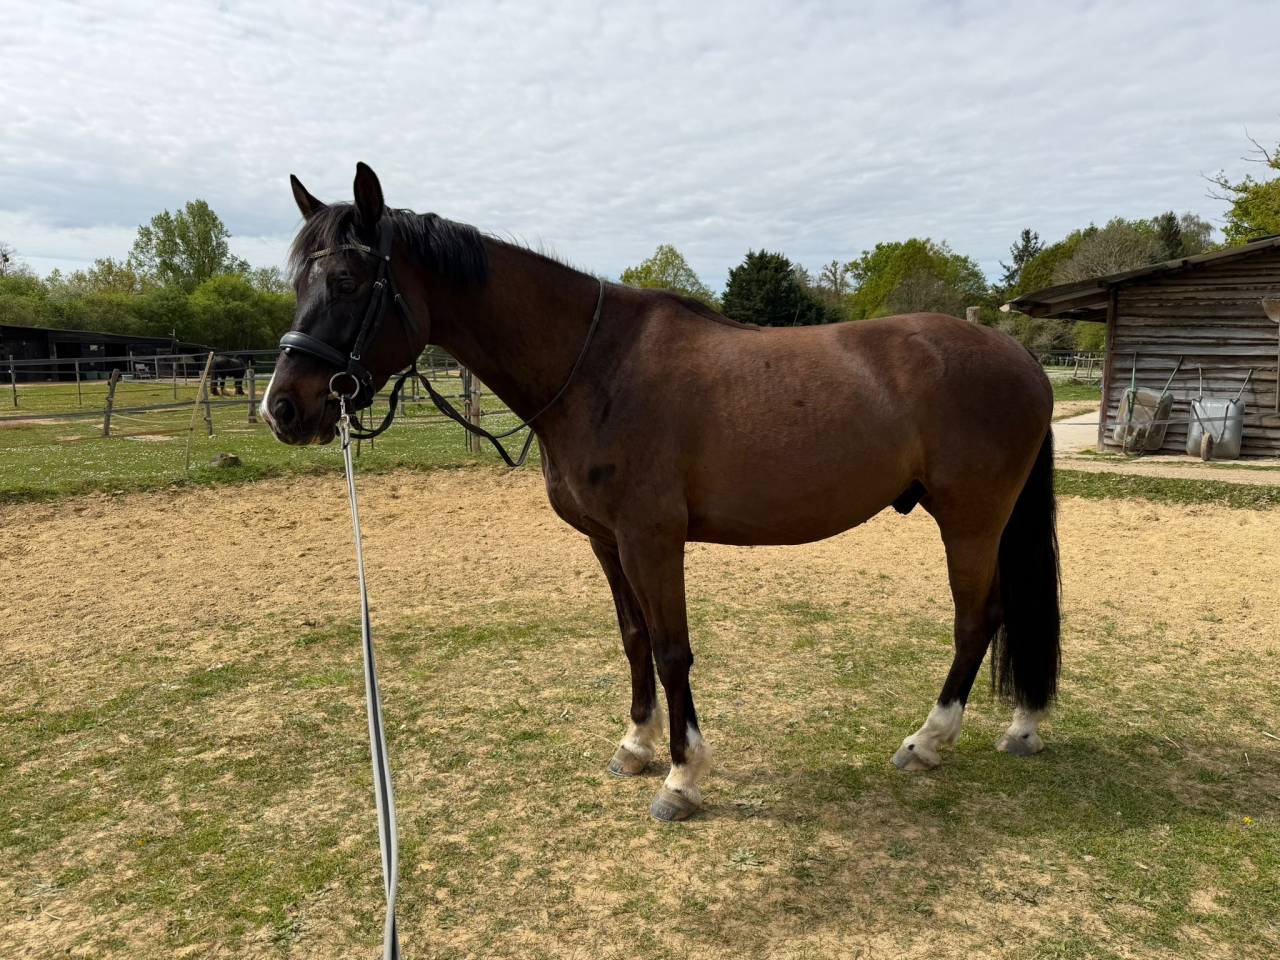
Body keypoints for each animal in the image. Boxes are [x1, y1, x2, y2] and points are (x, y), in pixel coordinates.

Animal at [263, 163, 1060, 822]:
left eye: (348, 283)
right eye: (299, 283)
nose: (284, 409)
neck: (597, 369)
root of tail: (1019, 356)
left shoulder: (653, 538)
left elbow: (675, 649)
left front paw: (683, 777)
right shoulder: (607, 541)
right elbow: (636, 638)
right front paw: (637, 745)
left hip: (971, 519)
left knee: (977, 618)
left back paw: (929, 741)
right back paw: (1021, 726)